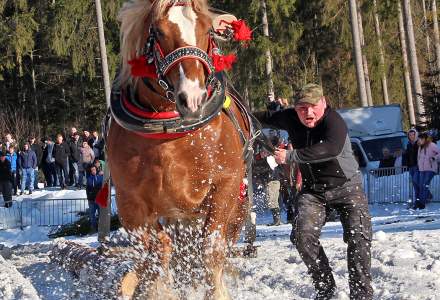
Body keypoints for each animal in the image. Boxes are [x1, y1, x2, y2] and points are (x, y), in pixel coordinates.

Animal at [105, 1, 253, 298]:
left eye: (207, 30)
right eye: (159, 32)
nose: (192, 98)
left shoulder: (226, 184)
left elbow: (211, 249)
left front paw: (215, 290)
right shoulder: (130, 203)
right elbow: (157, 252)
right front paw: (145, 285)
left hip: (237, 208)